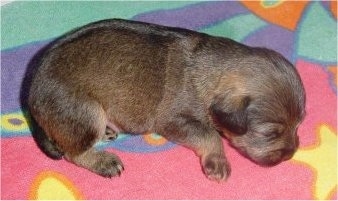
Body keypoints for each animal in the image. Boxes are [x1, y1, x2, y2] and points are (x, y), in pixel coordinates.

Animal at [27, 18, 304, 181]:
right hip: (86, 112)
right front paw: (217, 161)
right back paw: (103, 161)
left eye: (299, 124)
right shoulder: (174, 121)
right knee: (73, 153)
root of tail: (30, 94)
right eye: (269, 134)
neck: (212, 73)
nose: (290, 154)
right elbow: (210, 135)